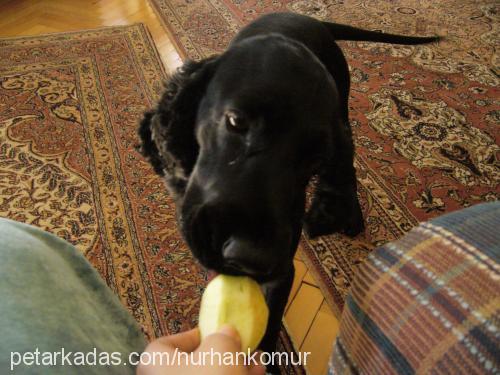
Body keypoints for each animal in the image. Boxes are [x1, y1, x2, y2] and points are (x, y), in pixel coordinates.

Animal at [138, 11, 438, 370]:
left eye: (315, 159)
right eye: (236, 121)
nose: (251, 257)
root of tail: (309, 18)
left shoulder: (282, 272)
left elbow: (268, 334)